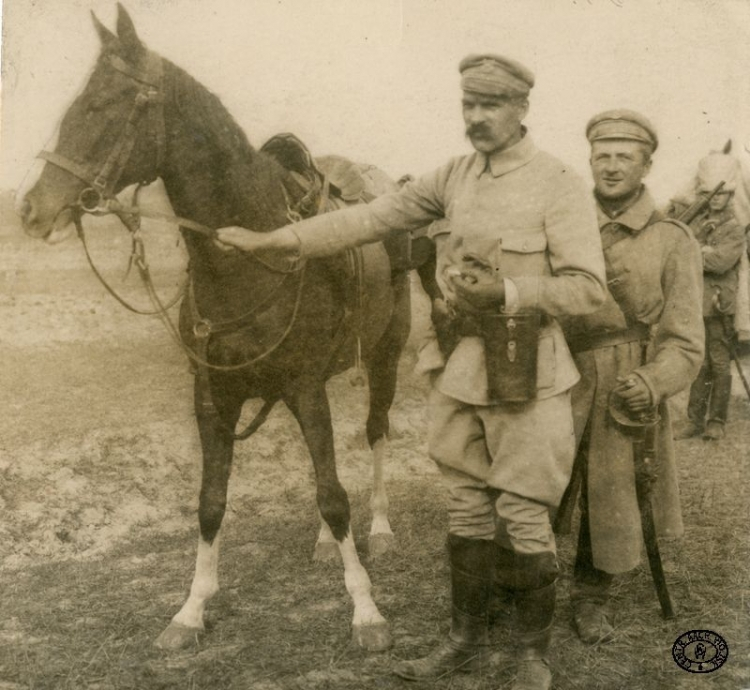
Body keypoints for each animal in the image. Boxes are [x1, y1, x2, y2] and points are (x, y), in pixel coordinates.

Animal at [19, 4, 428, 652]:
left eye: (104, 106)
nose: (32, 211)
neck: (248, 259)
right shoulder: (214, 396)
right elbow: (212, 502)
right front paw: (191, 610)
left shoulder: (303, 387)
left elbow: (334, 494)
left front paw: (366, 610)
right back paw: (321, 546)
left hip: (385, 356)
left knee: (377, 434)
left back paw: (382, 530)